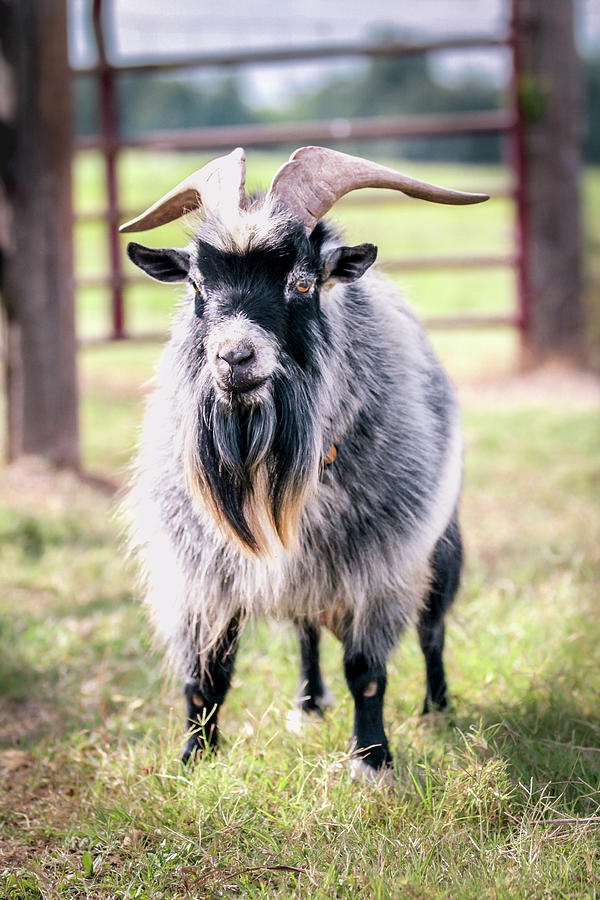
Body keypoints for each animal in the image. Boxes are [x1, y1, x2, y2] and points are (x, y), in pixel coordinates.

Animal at [123, 148, 488, 780]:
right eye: (196, 282)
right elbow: (206, 673)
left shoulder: (381, 562)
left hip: (442, 542)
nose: (234, 357)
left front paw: (372, 761)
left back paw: (437, 706)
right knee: (305, 630)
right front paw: (194, 757)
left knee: (433, 628)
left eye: (303, 281)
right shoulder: (199, 571)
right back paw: (308, 701)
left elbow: (367, 671)